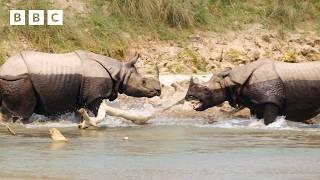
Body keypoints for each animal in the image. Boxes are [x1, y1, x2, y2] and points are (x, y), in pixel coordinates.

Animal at [0, 50, 160, 124]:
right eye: (143, 82)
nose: (159, 91)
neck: (119, 72)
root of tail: (4, 67)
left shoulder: (81, 97)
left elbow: (81, 113)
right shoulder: (94, 96)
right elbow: (97, 112)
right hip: (18, 79)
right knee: (22, 112)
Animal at [185, 59, 320, 124]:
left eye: (206, 89)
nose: (188, 96)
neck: (231, 80)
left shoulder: (271, 101)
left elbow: (268, 121)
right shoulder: (256, 103)